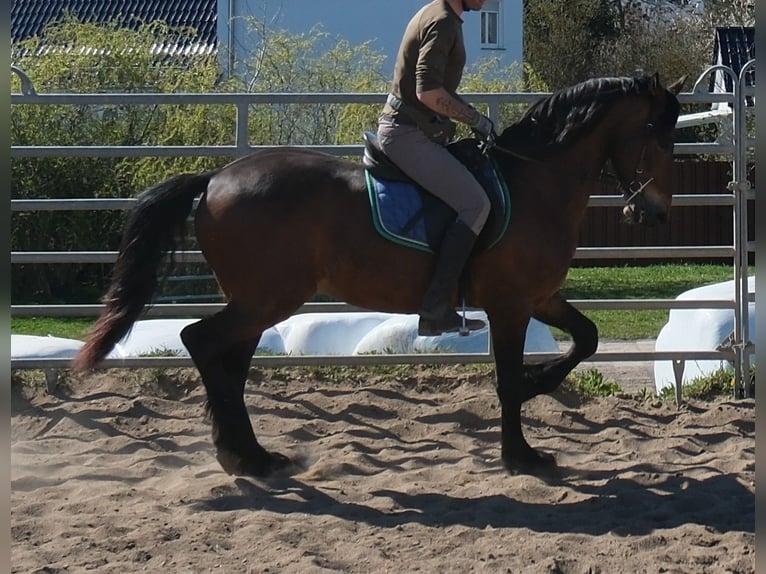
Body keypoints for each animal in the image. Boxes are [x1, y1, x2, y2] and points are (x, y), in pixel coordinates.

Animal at [73, 73, 687, 477]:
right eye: (660, 134)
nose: (655, 213)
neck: (536, 181)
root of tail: (216, 179)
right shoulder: (511, 305)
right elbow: (510, 379)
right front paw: (521, 455)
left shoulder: (540, 297)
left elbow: (587, 338)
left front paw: (540, 387)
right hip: (266, 299)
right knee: (200, 341)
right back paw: (242, 455)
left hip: (254, 301)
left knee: (229, 362)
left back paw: (250, 455)